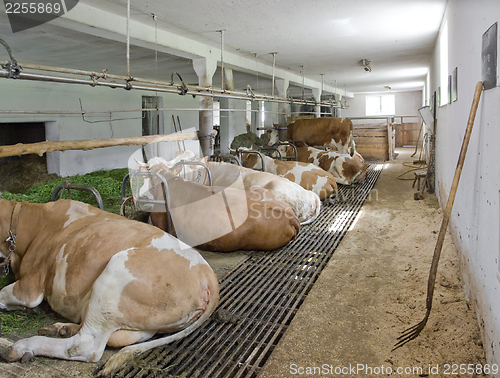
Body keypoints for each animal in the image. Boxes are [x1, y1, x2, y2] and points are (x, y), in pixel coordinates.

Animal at [0, 198, 219, 376]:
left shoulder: (29, 287)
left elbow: (4, 293)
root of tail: (208, 273)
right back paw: (62, 328)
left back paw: (23, 346)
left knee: (86, 346)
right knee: (118, 336)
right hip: (150, 320)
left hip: (114, 275)